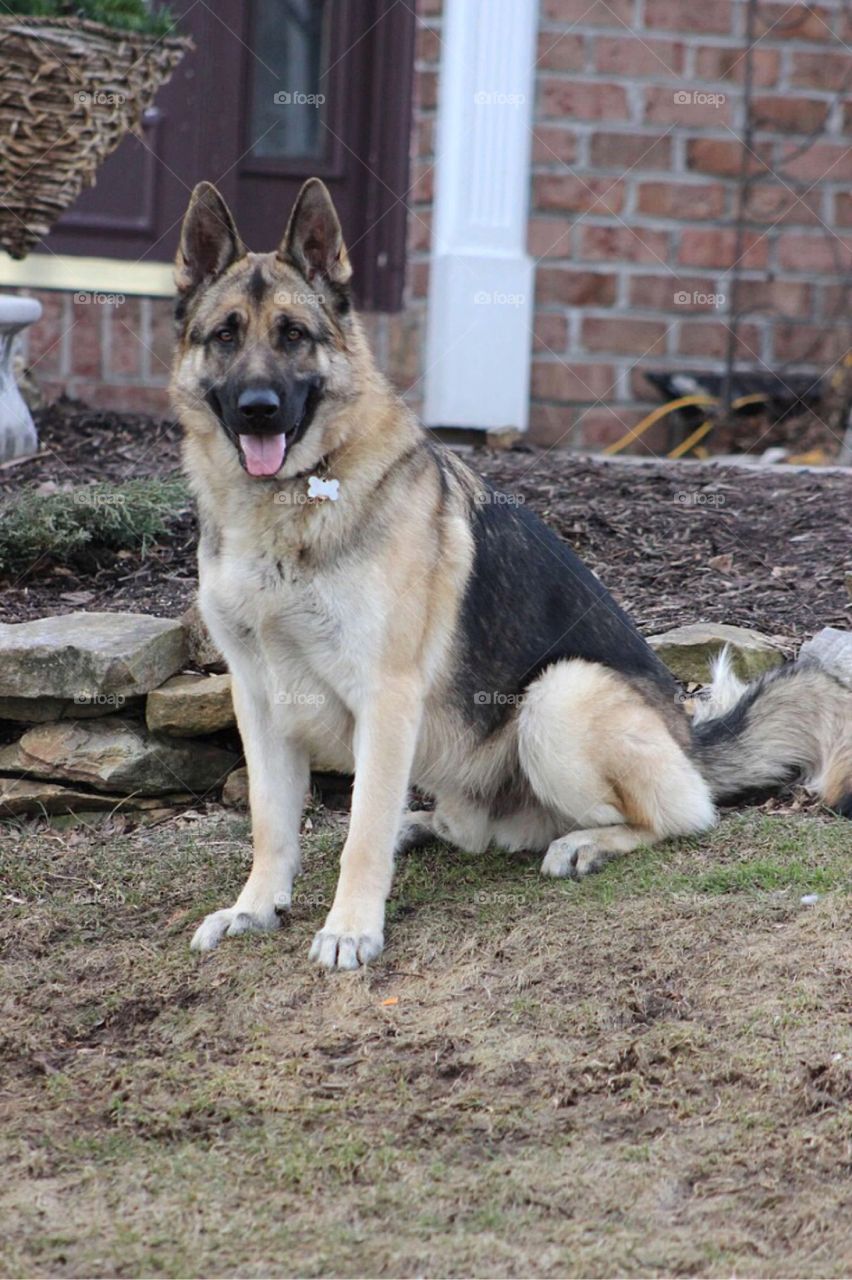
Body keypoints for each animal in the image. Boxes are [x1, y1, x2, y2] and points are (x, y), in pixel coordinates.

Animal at [172, 172, 849, 967]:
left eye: (293, 335)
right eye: (225, 335)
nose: (259, 410)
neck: (290, 503)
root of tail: (690, 741)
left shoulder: (385, 695)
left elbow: (360, 833)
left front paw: (351, 927)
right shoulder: (259, 698)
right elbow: (272, 824)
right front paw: (254, 909)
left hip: (558, 697)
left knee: (684, 816)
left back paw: (587, 842)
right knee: (470, 830)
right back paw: (425, 827)